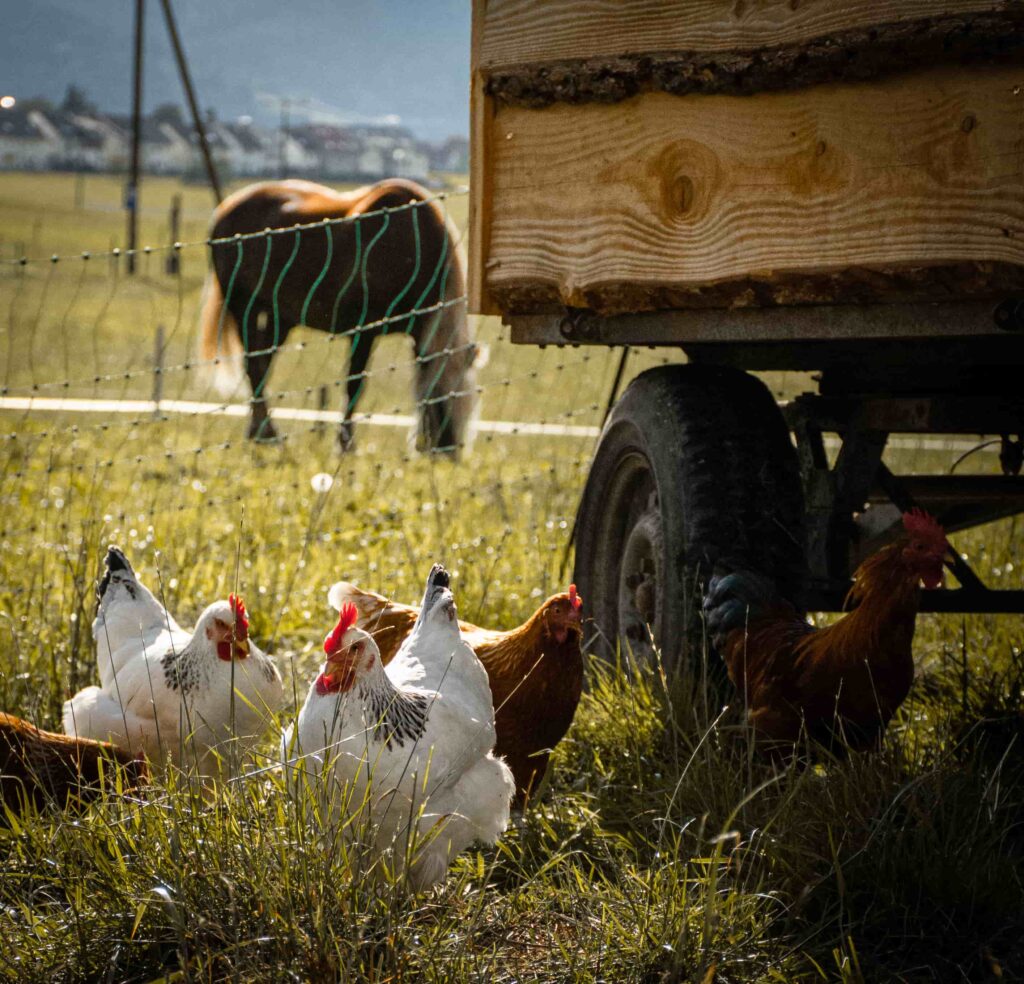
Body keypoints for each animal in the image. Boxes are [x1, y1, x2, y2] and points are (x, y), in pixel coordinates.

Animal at [199, 178, 476, 454]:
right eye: (440, 394)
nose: (449, 452)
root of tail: (226, 208)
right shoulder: (363, 329)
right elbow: (355, 385)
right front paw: (345, 444)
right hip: (243, 306)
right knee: (254, 366)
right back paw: (267, 435)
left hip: (278, 317)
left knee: (262, 364)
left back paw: (260, 433)